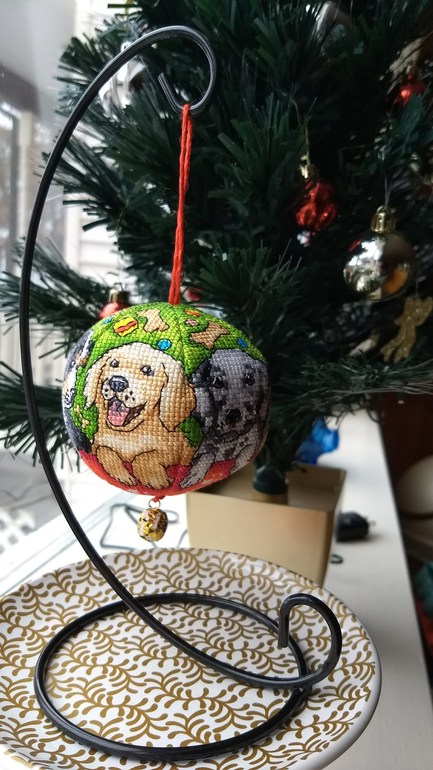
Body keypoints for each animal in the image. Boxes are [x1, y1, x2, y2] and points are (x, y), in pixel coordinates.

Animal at [83, 342, 196, 489]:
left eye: (146, 370)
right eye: (113, 363)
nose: (117, 382)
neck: (128, 435)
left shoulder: (176, 451)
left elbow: (144, 456)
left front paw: (155, 480)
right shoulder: (96, 445)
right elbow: (104, 450)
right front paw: (123, 476)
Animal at [180, 349, 269, 488]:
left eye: (250, 378)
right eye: (217, 381)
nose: (233, 414)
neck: (228, 439)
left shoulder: (253, 443)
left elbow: (245, 453)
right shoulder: (197, 454)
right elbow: (209, 455)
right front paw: (195, 474)